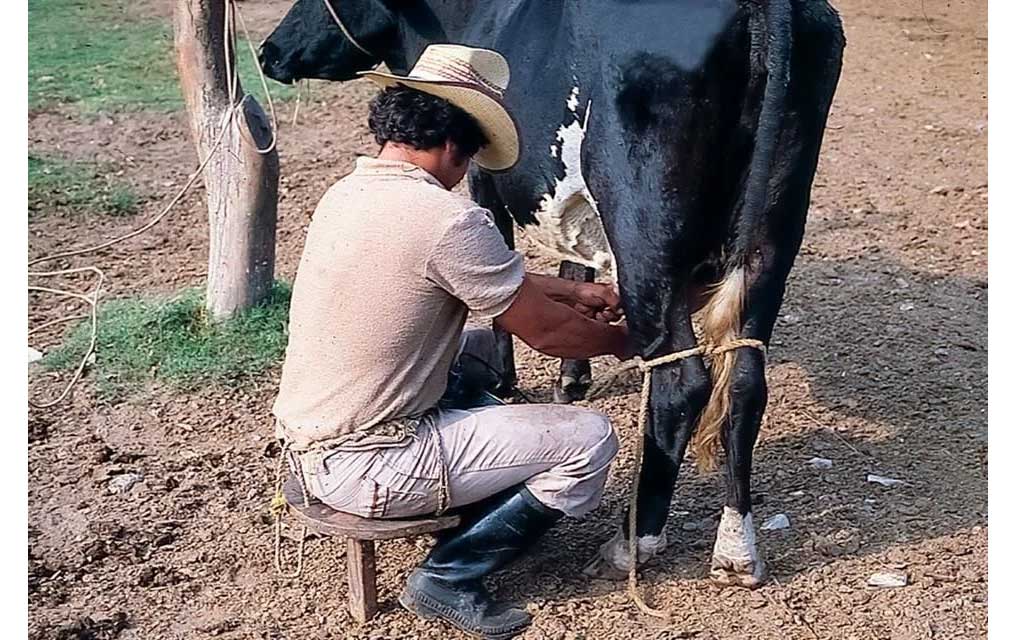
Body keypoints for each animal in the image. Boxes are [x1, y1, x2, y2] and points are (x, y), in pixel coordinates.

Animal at [260, 0, 841, 589]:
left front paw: (509, 381)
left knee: (681, 383)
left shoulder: (484, 177)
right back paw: (736, 548)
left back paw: (633, 542)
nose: (268, 51)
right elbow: (574, 262)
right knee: (744, 379)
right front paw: (571, 378)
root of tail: (764, 7)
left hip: (644, 229)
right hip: (774, 229)